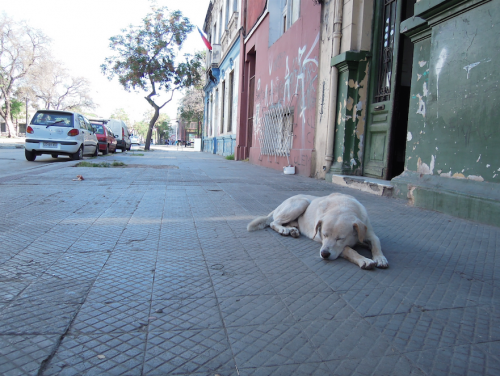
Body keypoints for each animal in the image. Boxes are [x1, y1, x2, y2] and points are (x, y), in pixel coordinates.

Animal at [248, 192, 388, 268]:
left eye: (340, 239)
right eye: (324, 235)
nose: (324, 254)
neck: (343, 206)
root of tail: (279, 205)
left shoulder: (369, 233)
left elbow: (376, 244)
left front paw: (380, 258)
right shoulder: (323, 242)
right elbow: (349, 250)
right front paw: (364, 260)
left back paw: (292, 230)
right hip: (302, 202)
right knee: (274, 222)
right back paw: (283, 230)